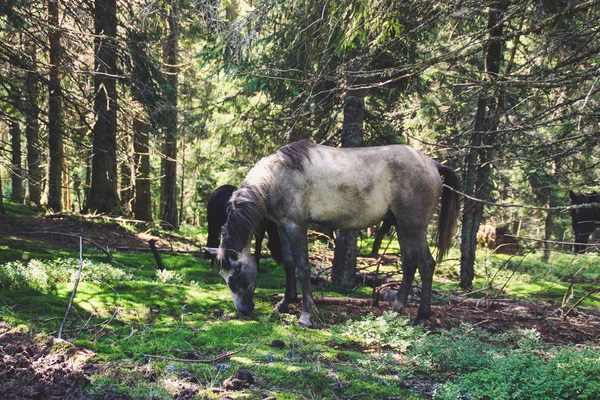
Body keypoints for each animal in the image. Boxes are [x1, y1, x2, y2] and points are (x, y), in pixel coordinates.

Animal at [204, 139, 462, 326]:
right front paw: (285, 303)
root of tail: (432, 163)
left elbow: (303, 268)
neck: (277, 177)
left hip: (413, 226)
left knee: (426, 264)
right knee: (410, 263)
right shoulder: (282, 226)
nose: (244, 311)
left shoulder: (296, 226)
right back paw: (397, 308)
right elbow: (288, 263)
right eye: (224, 278)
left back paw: (421, 316)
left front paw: (306, 315)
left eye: (236, 277)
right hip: (402, 226)